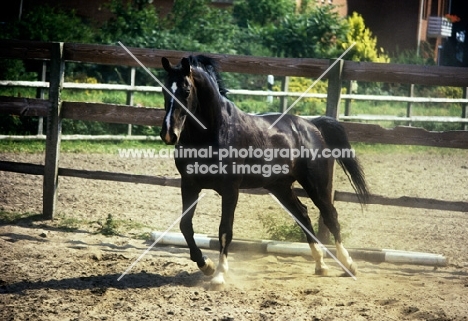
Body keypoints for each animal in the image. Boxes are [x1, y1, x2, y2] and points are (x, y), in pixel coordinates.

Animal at [161, 55, 370, 284]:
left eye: (186, 90)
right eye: (164, 89)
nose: (169, 134)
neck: (215, 131)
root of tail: (312, 125)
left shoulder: (230, 189)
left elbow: (225, 230)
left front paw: (219, 275)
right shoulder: (189, 184)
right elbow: (185, 225)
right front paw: (206, 265)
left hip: (317, 184)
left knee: (330, 216)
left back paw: (348, 264)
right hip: (280, 187)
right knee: (303, 215)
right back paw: (320, 264)